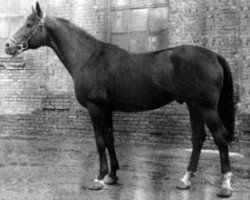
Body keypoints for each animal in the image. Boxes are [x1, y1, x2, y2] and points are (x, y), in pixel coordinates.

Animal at [4, 2, 236, 198]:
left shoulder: (95, 108)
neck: (89, 58)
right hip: (193, 106)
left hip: (206, 107)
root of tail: (214, 55)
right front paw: (112, 175)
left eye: (29, 24)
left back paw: (225, 185)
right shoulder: (107, 109)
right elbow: (109, 139)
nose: (8, 46)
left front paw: (99, 178)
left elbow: (99, 141)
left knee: (220, 137)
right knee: (198, 138)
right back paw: (186, 180)